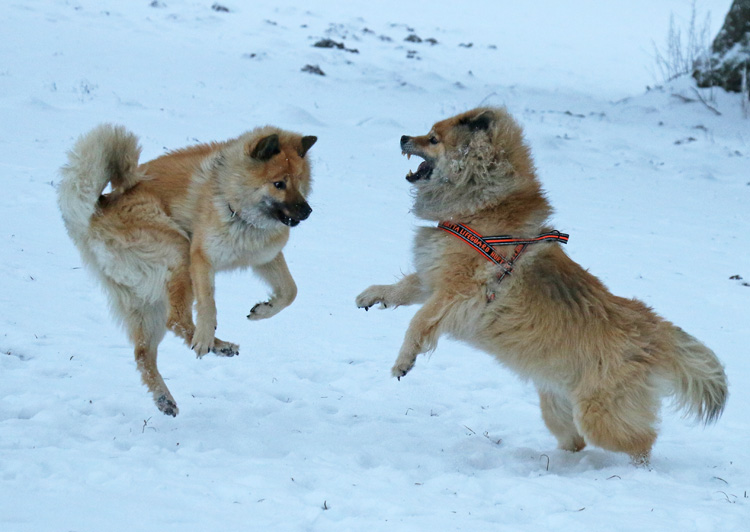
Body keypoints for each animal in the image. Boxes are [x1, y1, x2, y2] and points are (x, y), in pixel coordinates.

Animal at [59, 123, 318, 416]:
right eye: (278, 184)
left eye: (299, 181)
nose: (307, 211)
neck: (233, 203)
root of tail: (97, 210)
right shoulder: (200, 258)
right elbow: (208, 305)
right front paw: (205, 336)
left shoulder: (265, 257)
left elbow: (290, 292)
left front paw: (263, 309)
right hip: (178, 253)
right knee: (176, 320)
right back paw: (214, 344)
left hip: (145, 301)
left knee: (143, 352)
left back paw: (166, 396)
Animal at [356, 106, 728, 464]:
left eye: (433, 139)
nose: (403, 137)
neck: (481, 209)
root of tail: (654, 331)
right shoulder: (432, 278)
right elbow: (402, 289)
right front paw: (372, 296)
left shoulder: (458, 291)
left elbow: (418, 322)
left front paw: (404, 361)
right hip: (557, 406)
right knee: (576, 441)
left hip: (600, 414)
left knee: (641, 441)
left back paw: (637, 471)